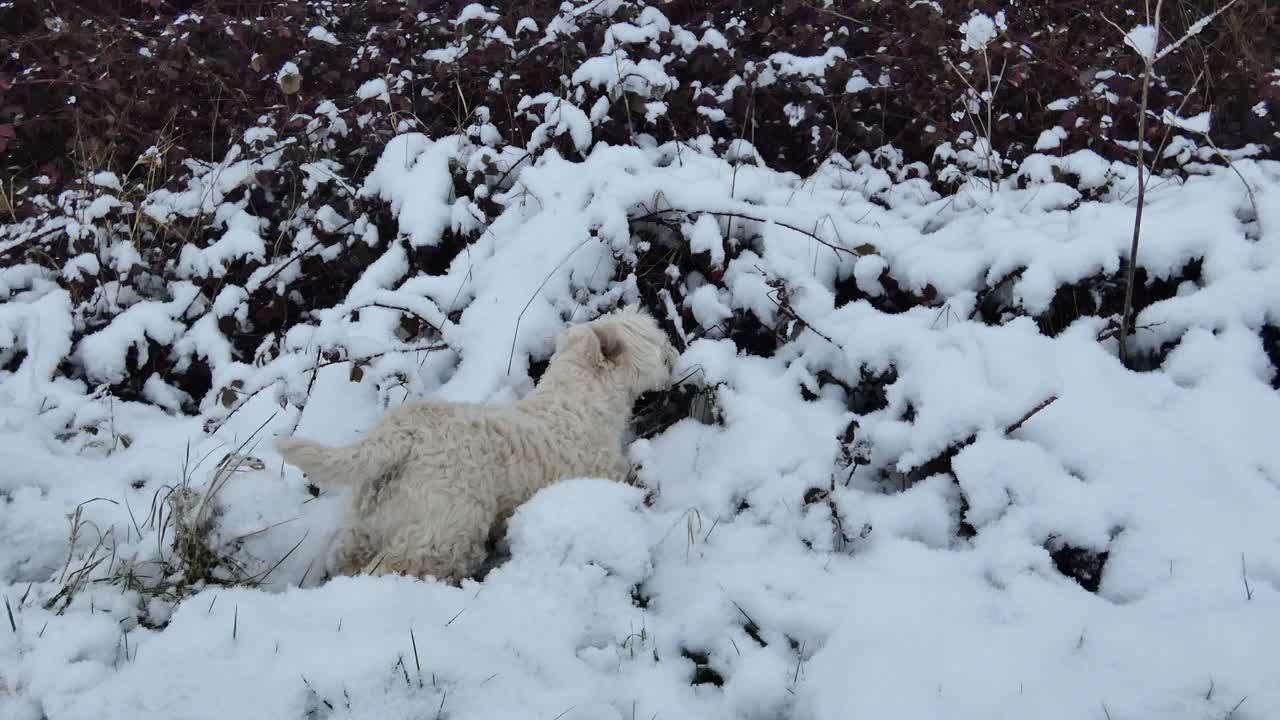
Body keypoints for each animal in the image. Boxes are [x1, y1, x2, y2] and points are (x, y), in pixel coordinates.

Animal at [275, 304, 680, 579]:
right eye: (658, 345)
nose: (676, 355)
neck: (579, 400)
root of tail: (399, 434)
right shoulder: (601, 473)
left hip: (367, 522)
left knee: (351, 558)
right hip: (444, 528)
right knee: (400, 565)